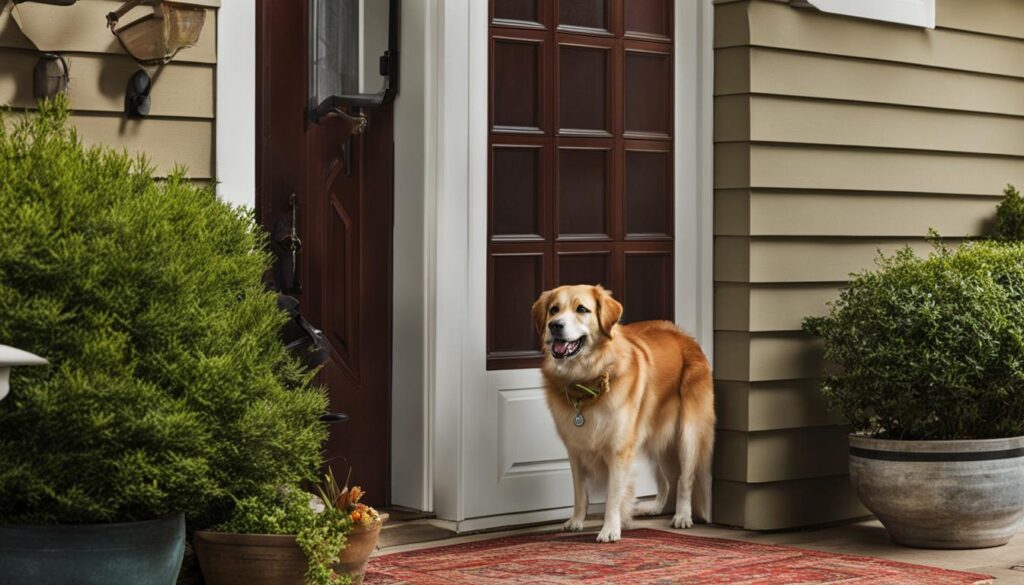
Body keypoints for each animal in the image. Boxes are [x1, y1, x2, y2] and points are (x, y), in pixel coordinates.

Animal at [532, 286, 716, 540]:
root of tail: (685, 336)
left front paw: (610, 528)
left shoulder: (618, 450)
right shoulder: (576, 449)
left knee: (684, 478)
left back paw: (682, 515)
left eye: (582, 309)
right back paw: (654, 507)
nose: (555, 326)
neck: (586, 379)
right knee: (668, 479)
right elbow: (579, 492)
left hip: (688, 433)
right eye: (553, 309)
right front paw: (577, 520)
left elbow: (613, 495)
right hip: (654, 436)